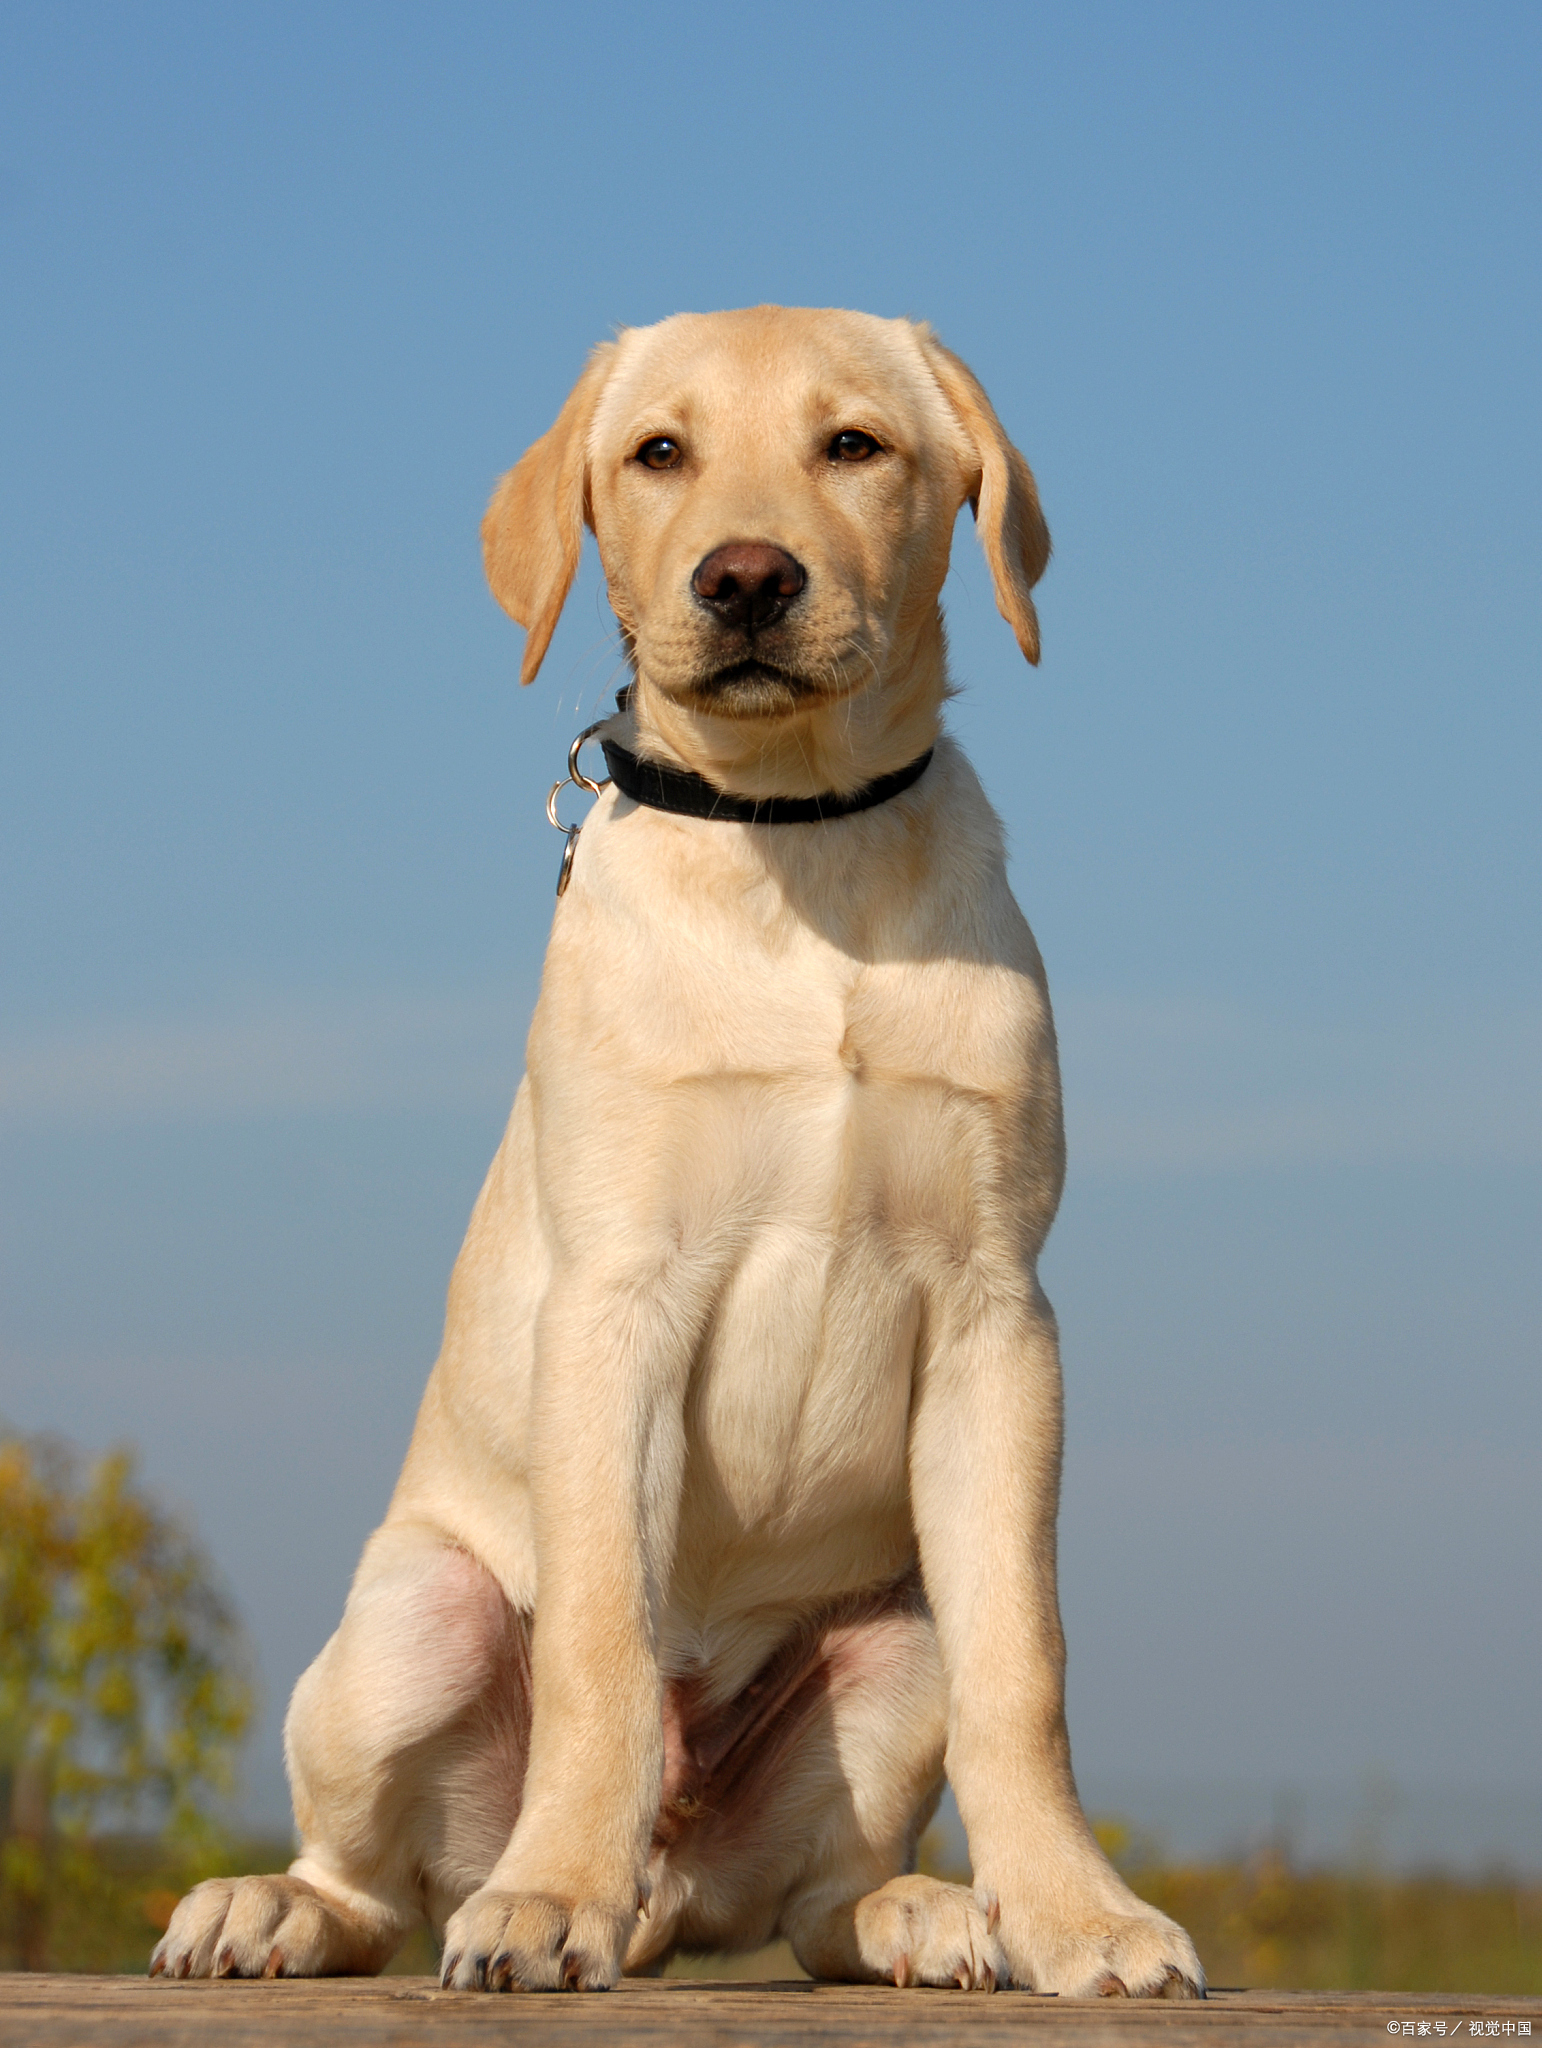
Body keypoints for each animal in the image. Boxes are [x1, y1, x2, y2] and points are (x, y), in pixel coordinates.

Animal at [150, 307, 1195, 1998]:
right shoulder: (612, 1302)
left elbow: (1022, 1665)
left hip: (887, 1638)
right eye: (657, 454)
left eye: (853, 446)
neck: (795, 840)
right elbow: (600, 1647)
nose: (747, 579)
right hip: (412, 1616)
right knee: (371, 1875)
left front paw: (1073, 1914)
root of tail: (671, 1888)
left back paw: (920, 1914)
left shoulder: (996, 1315)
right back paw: (296, 1906)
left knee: (822, 1890)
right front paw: (544, 1895)